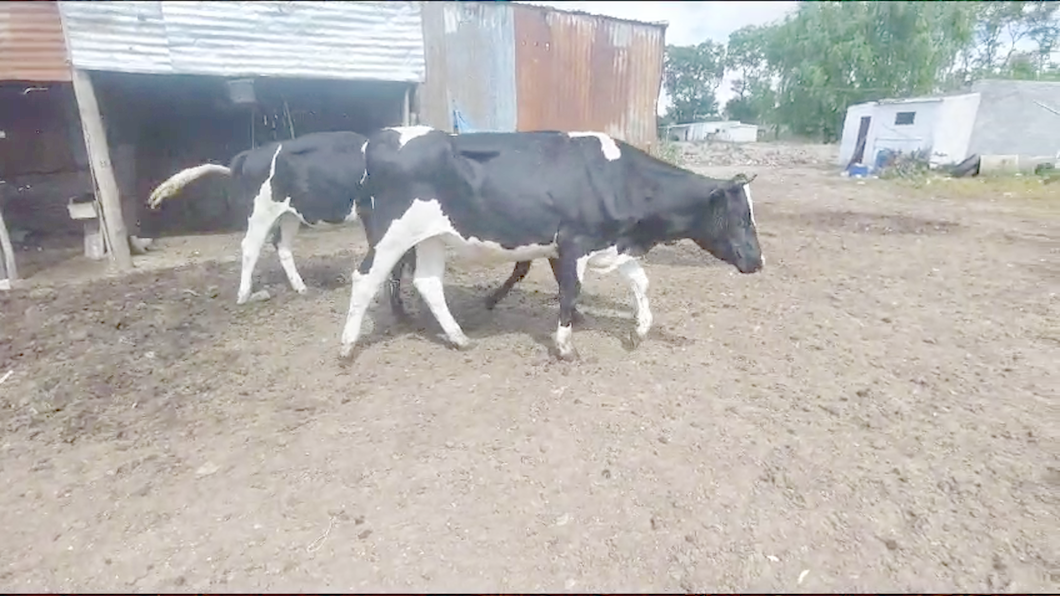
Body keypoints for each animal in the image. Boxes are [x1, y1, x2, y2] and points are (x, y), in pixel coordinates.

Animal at [339, 124, 763, 356]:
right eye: (741, 216)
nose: (758, 261)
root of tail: (378, 139)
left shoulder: (612, 242)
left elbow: (640, 282)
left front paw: (640, 330)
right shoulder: (575, 241)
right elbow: (571, 290)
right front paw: (565, 345)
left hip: (431, 236)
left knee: (427, 282)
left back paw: (459, 338)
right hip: (392, 233)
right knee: (367, 278)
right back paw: (346, 346)